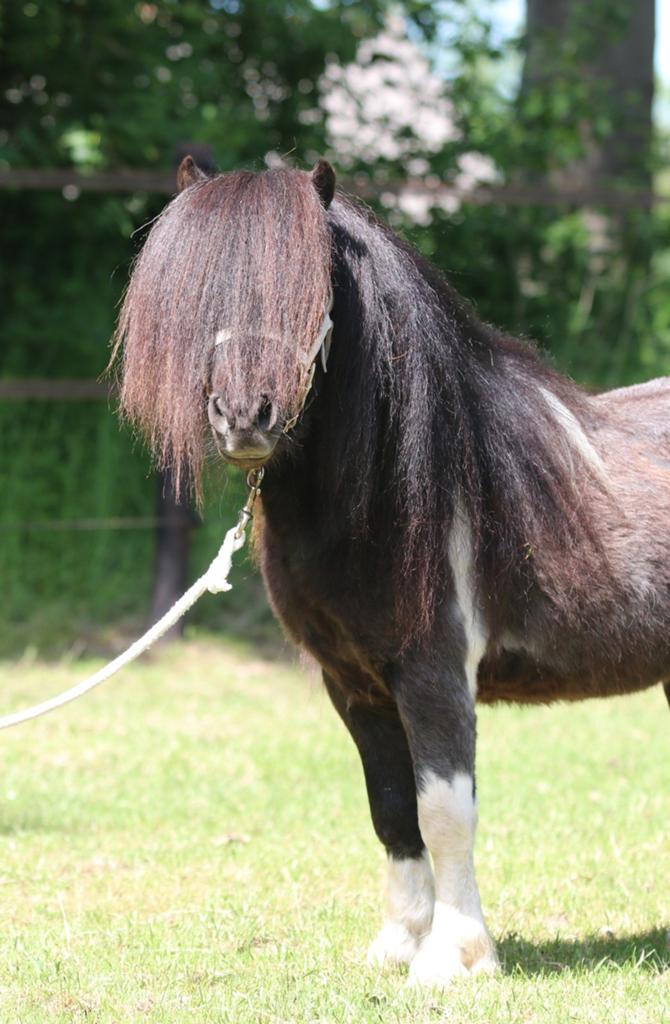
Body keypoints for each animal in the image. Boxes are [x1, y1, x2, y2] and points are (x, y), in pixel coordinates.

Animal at [113, 157, 670, 987]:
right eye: (202, 285)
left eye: (314, 286)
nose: (246, 417)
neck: (395, 493)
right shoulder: (355, 684)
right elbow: (391, 807)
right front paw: (402, 941)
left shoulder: (433, 672)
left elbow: (445, 810)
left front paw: (455, 957)